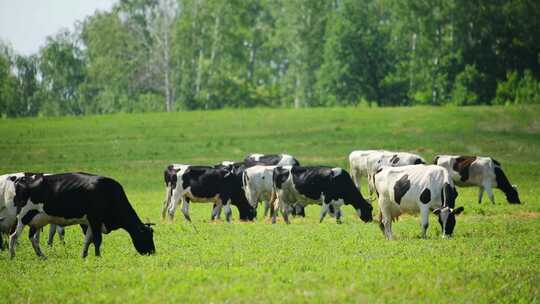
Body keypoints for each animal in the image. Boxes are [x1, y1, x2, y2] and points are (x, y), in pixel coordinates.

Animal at [9, 173, 155, 258]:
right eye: (146, 236)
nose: (152, 252)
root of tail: (22, 179)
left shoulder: (90, 222)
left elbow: (88, 240)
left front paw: (84, 255)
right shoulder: (95, 219)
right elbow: (97, 240)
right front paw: (98, 257)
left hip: (36, 220)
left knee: (32, 238)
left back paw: (42, 256)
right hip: (23, 217)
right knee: (13, 236)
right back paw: (12, 256)